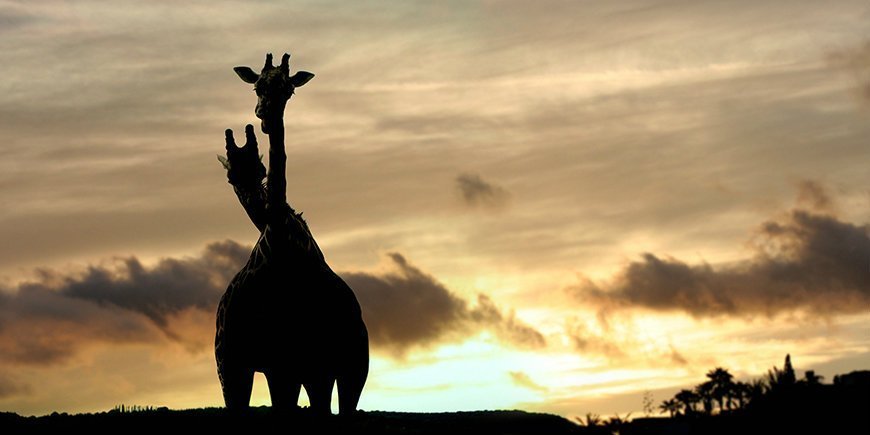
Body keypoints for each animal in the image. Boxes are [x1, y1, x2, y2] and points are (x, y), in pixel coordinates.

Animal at [218, 52, 372, 416]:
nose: (265, 115)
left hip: (348, 366)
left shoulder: (293, 363)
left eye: (288, 90)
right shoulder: (239, 364)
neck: (280, 243)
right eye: (258, 86)